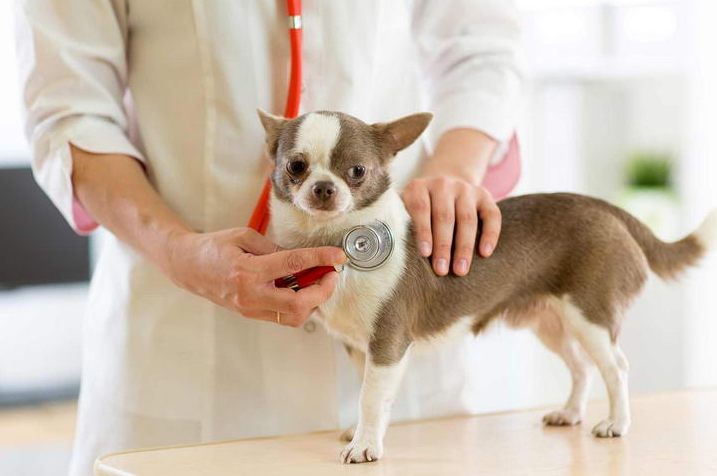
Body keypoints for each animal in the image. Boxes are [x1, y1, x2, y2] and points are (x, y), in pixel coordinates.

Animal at [255, 109, 712, 462]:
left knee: (615, 367)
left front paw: (366, 445)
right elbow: (370, 392)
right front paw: (362, 431)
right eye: (295, 166)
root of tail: (608, 209)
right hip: (549, 324)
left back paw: (616, 422)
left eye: (357, 172)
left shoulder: (387, 342)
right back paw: (569, 413)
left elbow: (371, 394)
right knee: (580, 366)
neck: (334, 241)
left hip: (590, 317)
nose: (324, 187)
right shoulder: (359, 347)